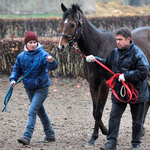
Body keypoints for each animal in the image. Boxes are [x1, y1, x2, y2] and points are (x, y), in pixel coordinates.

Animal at [57, 3, 150, 146]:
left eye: (72, 24)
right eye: (61, 22)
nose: (60, 47)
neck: (99, 46)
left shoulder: (104, 85)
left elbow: (99, 111)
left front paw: (93, 137)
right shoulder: (92, 85)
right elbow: (94, 110)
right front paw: (105, 131)